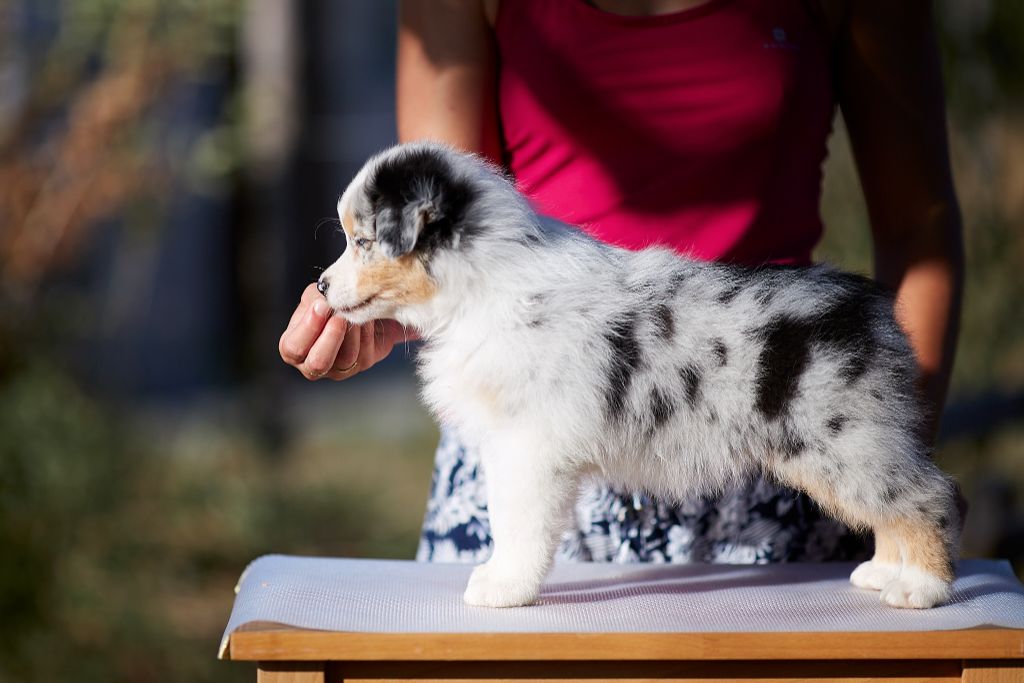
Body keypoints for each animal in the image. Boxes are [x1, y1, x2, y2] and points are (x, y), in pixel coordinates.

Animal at [317, 143, 958, 610]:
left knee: (923, 495)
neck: (481, 283)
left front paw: (504, 588)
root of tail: (870, 307)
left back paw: (920, 586)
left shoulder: (529, 447)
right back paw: (884, 571)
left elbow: (518, 523)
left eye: (363, 240)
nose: (320, 287)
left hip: (844, 440)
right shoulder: (510, 444)